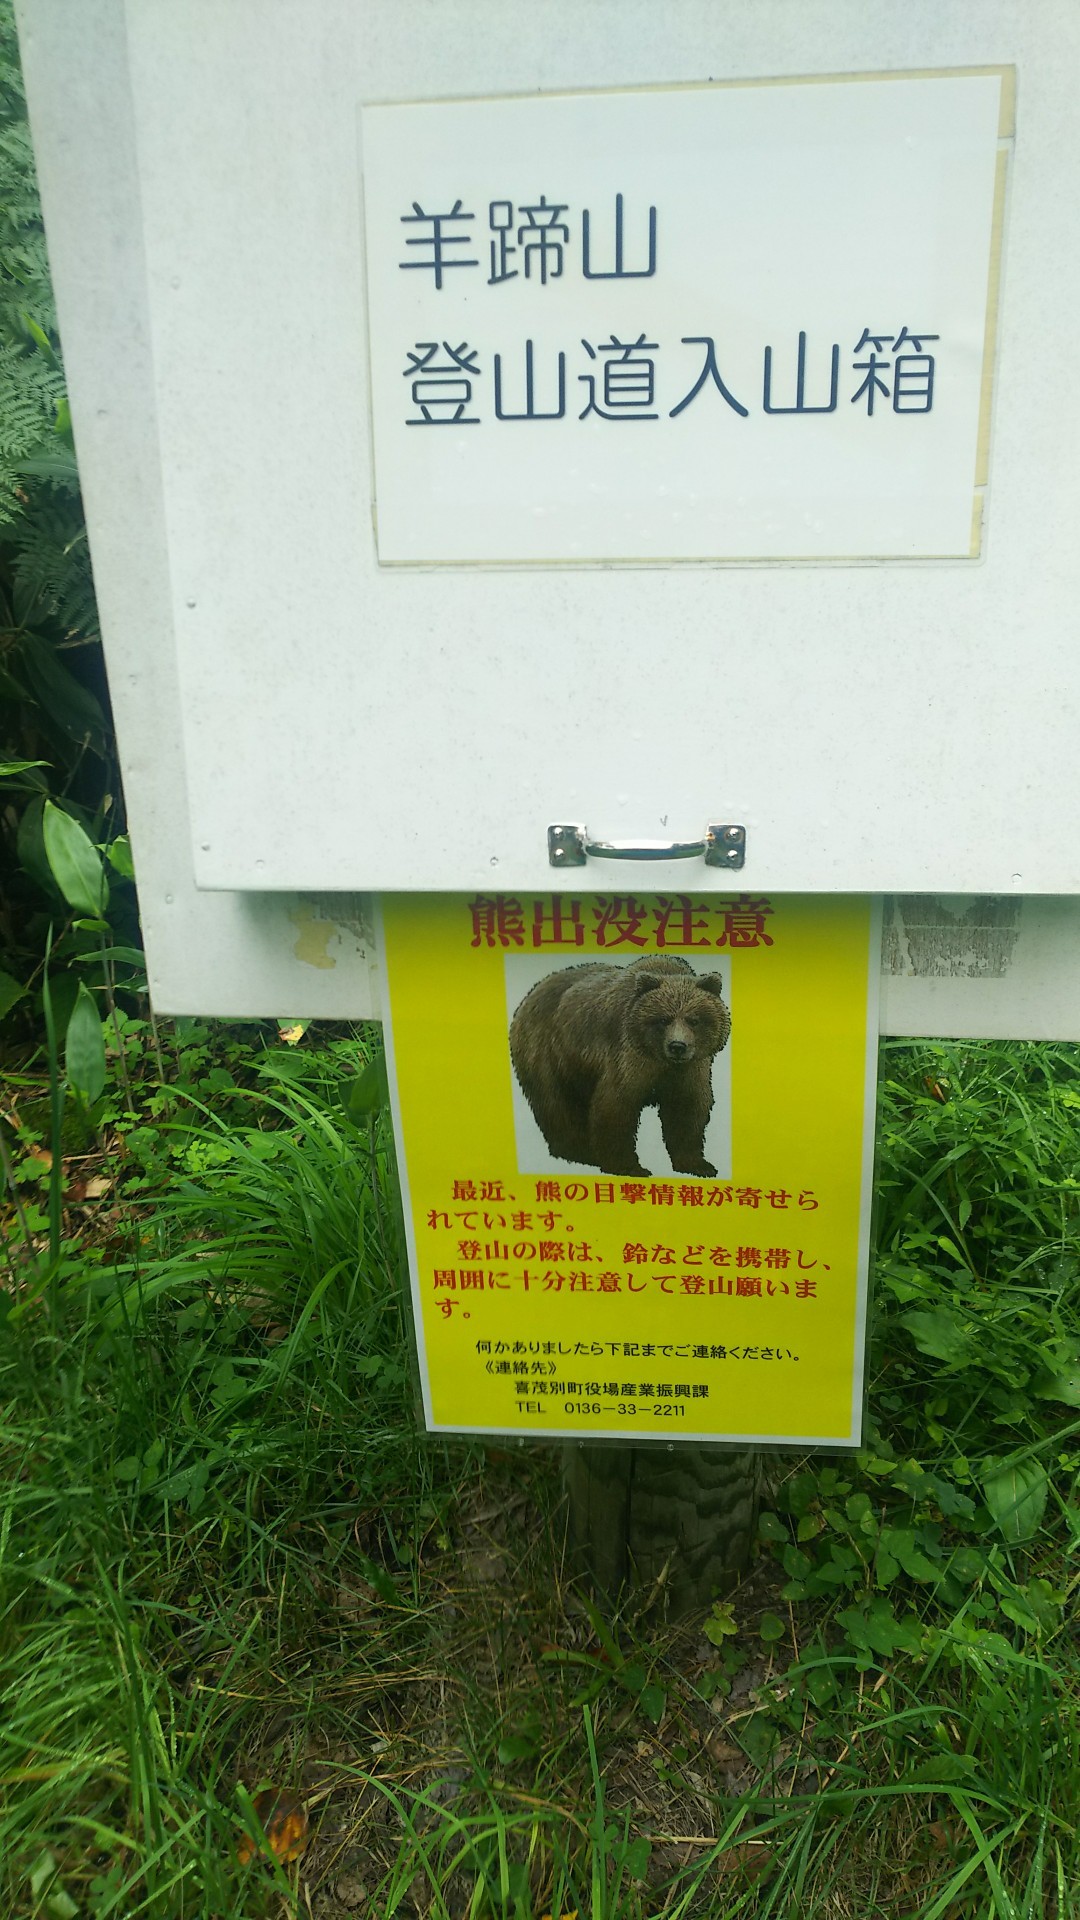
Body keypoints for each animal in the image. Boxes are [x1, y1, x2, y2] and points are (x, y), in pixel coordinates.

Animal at [509, 954, 731, 1178]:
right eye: (663, 1019)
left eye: (693, 1020)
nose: (677, 1046)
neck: (660, 1059)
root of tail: (531, 993)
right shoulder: (628, 1058)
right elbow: (616, 1106)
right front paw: (630, 1166)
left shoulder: (689, 1070)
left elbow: (686, 1108)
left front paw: (699, 1165)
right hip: (549, 1051)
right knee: (556, 1103)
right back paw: (580, 1152)